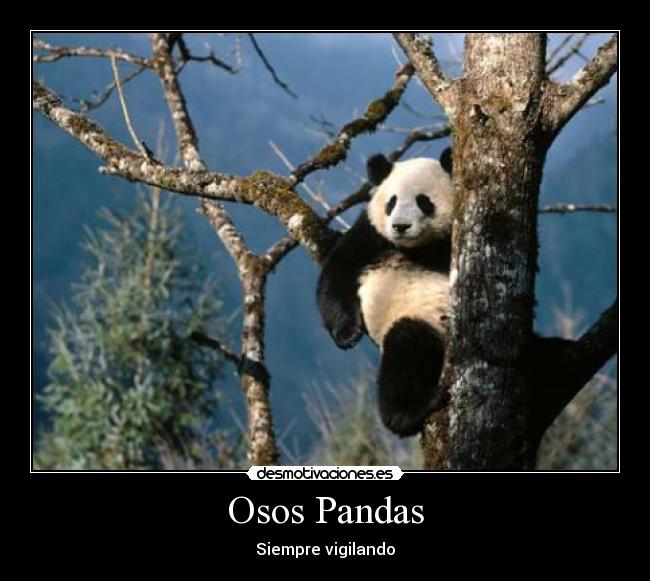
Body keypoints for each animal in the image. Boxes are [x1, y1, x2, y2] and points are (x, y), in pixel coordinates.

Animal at [317, 149, 454, 437]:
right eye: (391, 202)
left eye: (423, 201)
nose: (400, 226)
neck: (416, 247)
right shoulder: (371, 233)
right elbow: (337, 272)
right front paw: (346, 334)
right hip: (418, 321)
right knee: (407, 351)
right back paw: (410, 411)